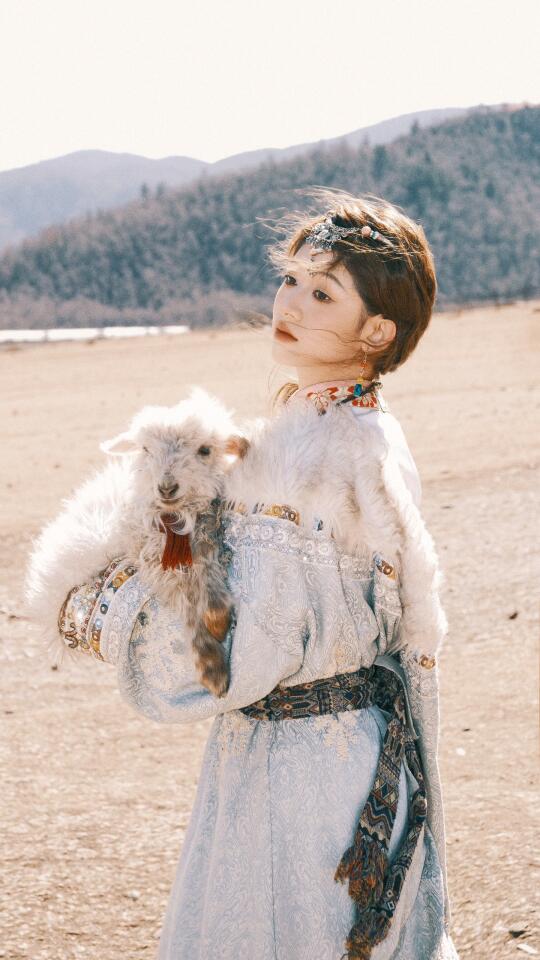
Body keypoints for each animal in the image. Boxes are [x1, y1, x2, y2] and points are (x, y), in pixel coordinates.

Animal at [25, 388, 248, 697]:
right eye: (146, 450)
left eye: (205, 450)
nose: (166, 487)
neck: (173, 520)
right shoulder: (149, 557)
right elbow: (182, 593)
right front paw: (211, 662)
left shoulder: (202, 525)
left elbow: (206, 556)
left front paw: (216, 612)